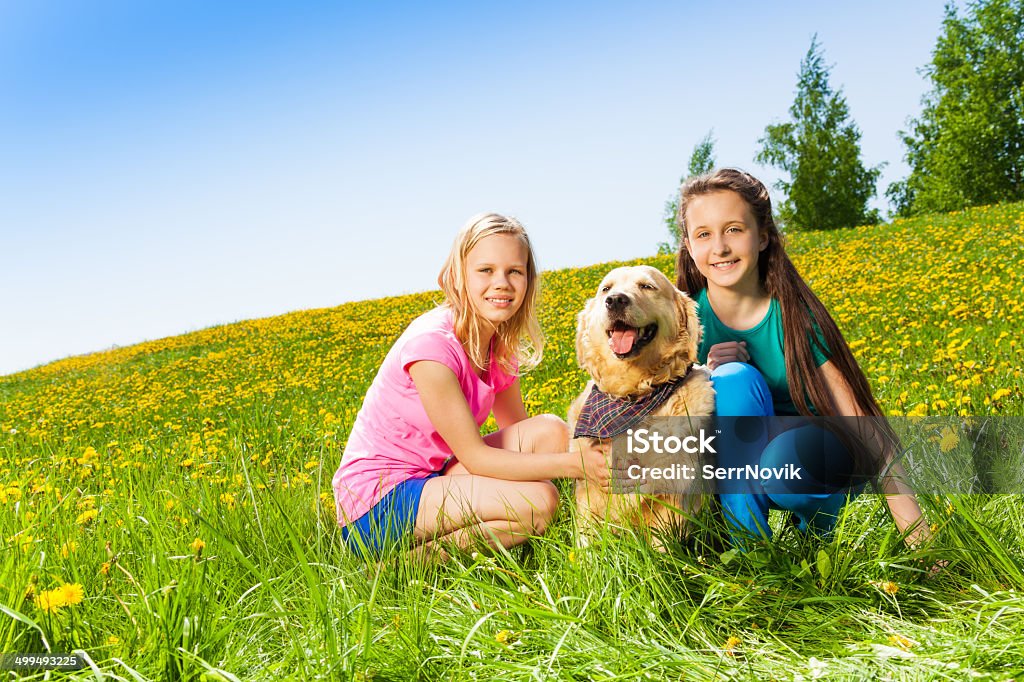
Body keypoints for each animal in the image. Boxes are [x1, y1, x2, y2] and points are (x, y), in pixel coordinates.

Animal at [565, 262, 716, 544]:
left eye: (647, 286)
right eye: (606, 289)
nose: (615, 300)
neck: (631, 395)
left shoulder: (674, 497)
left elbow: (662, 547)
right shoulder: (588, 496)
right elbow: (584, 544)